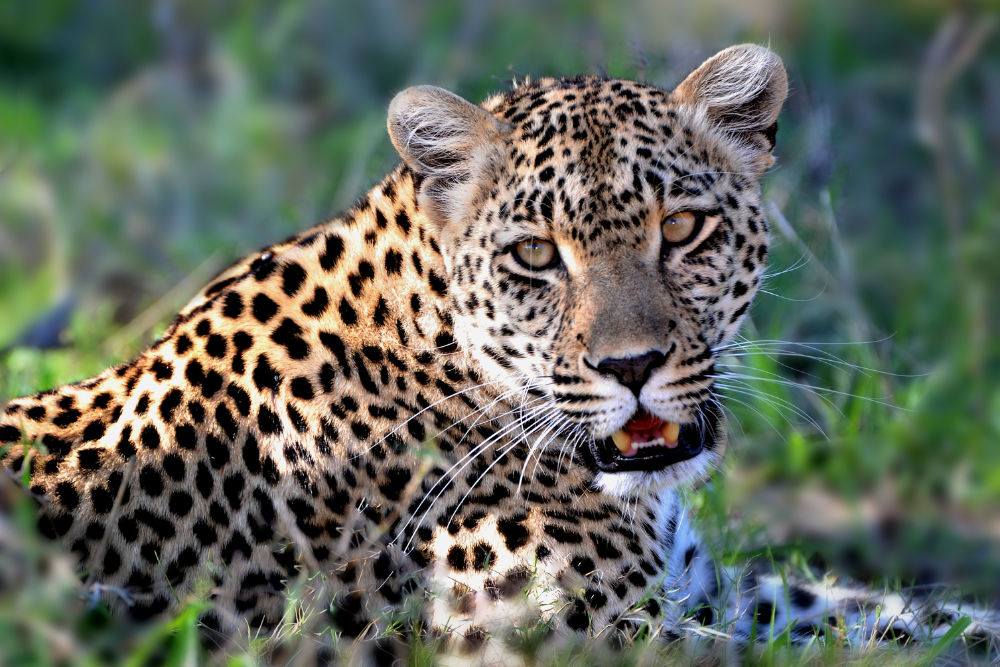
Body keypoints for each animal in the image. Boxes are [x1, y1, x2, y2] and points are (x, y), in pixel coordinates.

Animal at [1, 44, 995, 664]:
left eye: (681, 229)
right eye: (535, 254)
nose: (631, 367)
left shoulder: (700, 592)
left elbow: (905, 620)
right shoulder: (582, 637)